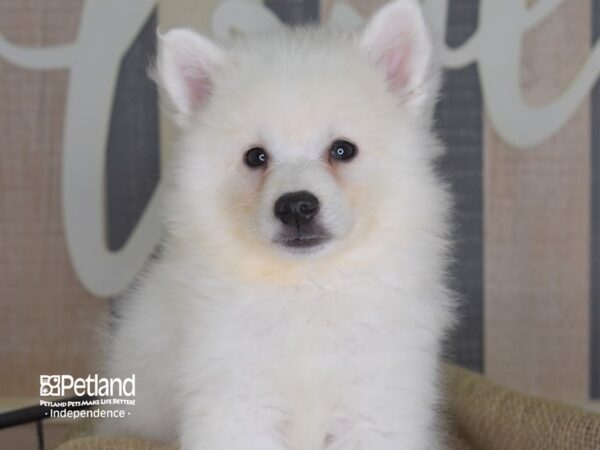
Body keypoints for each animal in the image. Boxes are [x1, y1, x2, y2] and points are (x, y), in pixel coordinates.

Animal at [98, 1, 454, 448]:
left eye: (343, 150)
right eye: (255, 157)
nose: (296, 207)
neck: (306, 285)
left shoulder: (375, 402)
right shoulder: (235, 401)